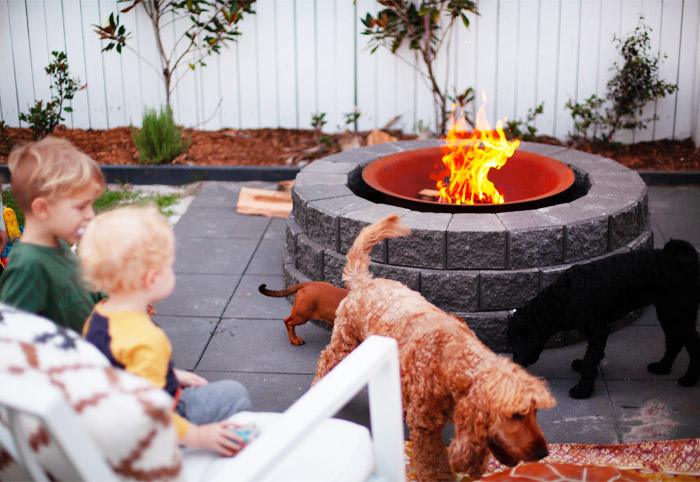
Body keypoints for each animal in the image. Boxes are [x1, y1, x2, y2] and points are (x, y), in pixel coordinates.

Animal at [314, 215, 556, 482]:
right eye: (517, 415)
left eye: (535, 412)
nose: (544, 452)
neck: (453, 360)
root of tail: (365, 281)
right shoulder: (425, 427)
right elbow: (432, 463)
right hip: (344, 343)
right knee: (325, 362)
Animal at [508, 238, 700, 400]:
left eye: (516, 340)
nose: (515, 362)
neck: (562, 299)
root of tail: (688, 260)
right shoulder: (598, 332)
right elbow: (593, 356)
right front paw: (585, 368)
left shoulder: (598, 331)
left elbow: (591, 359)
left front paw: (583, 389)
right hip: (668, 313)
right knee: (675, 341)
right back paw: (662, 367)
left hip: (677, 313)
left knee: (691, 342)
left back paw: (689, 378)